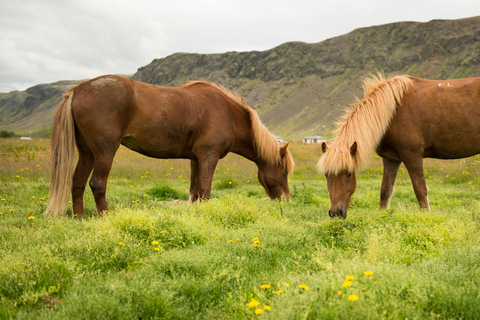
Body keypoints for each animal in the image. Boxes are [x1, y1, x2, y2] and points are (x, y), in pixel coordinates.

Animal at [46, 75, 292, 218]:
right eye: (284, 171)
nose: (287, 201)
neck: (228, 113)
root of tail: (78, 89)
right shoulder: (209, 157)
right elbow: (206, 190)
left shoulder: (196, 159)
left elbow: (195, 191)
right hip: (105, 152)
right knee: (97, 183)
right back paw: (105, 215)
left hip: (87, 152)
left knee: (77, 183)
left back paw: (79, 217)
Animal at [316, 72, 480, 218]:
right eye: (326, 175)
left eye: (349, 174)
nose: (335, 213)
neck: (392, 111)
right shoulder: (391, 159)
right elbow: (385, 190)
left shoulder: (412, 155)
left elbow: (420, 189)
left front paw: (425, 217)